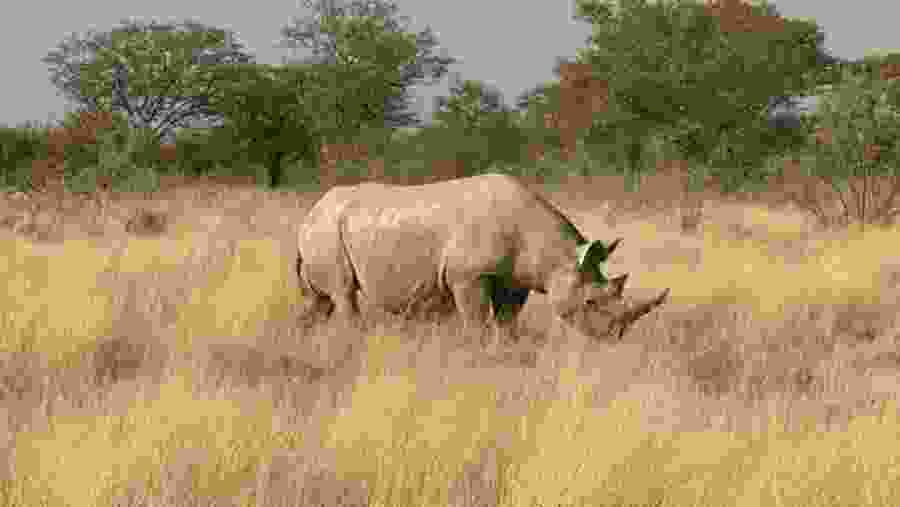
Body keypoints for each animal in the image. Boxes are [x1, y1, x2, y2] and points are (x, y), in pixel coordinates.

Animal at [296, 173, 669, 340]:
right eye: (591, 302)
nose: (612, 338)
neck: (556, 256)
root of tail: (309, 214)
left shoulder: (517, 278)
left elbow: (507, 320)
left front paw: (507, 349)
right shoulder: (467, 276)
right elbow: (476, 321)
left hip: (326, 230)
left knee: (320, 301)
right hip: (327, 231)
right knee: (343, 293)